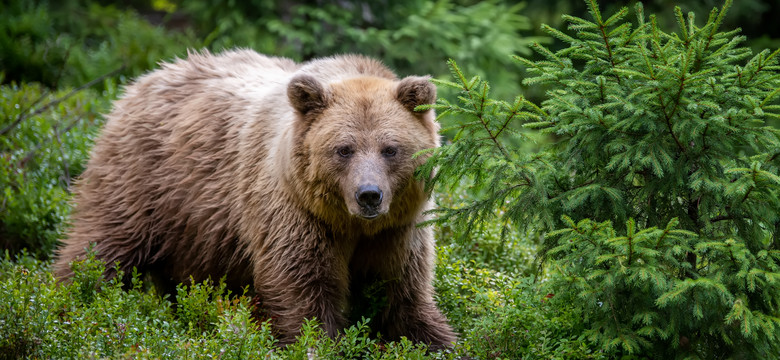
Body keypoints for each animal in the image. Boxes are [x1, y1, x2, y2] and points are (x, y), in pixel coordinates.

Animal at [53, 47, 458, 348]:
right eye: (343, 149)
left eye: (391, 149)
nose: (369, 195)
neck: (349, 224)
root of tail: (144, 78)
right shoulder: (294, 212)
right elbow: (302, 287)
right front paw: (315, 342)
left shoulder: (399, 229)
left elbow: (404, 292)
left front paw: (438, 339)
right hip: (145, 182)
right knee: (101, 246)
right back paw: (69, 302)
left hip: (193, 234)